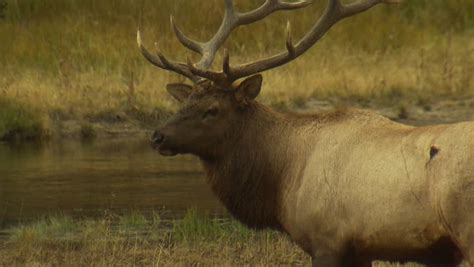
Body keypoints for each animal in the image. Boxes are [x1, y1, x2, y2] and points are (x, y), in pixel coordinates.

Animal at [138, 1, 474, 266]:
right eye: (185, 102)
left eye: (212, 109)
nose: (158, 136)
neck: (282, 177)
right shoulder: (361, 250)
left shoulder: (327, 240)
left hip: (467, 230)